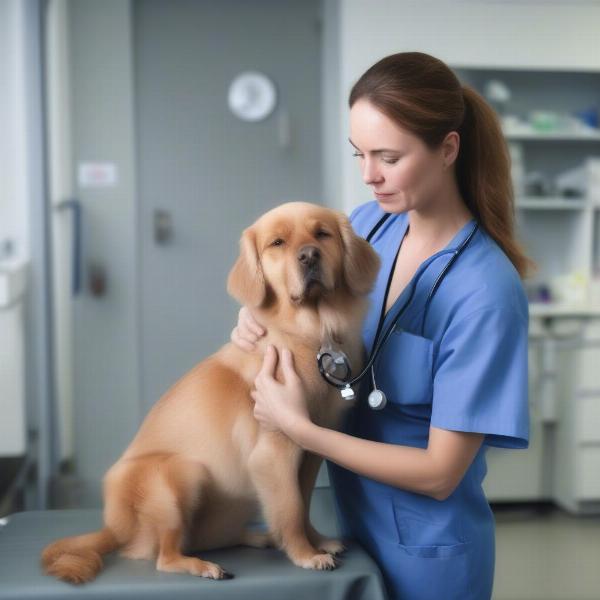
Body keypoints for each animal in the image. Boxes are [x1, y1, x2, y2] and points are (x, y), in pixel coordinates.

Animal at [41, 200, 380, 580]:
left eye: (322, 234)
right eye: (277, 243)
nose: (309, 256)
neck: (313, 331)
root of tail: (113, 529)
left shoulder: (310, 452)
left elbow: (303, 503)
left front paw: (317, 540)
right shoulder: (275, 452)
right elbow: (291, 508)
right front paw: (305, 553)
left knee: (207, 538)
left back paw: (257, 537)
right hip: (182, 477)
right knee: (165, 556)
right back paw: (201, 565)